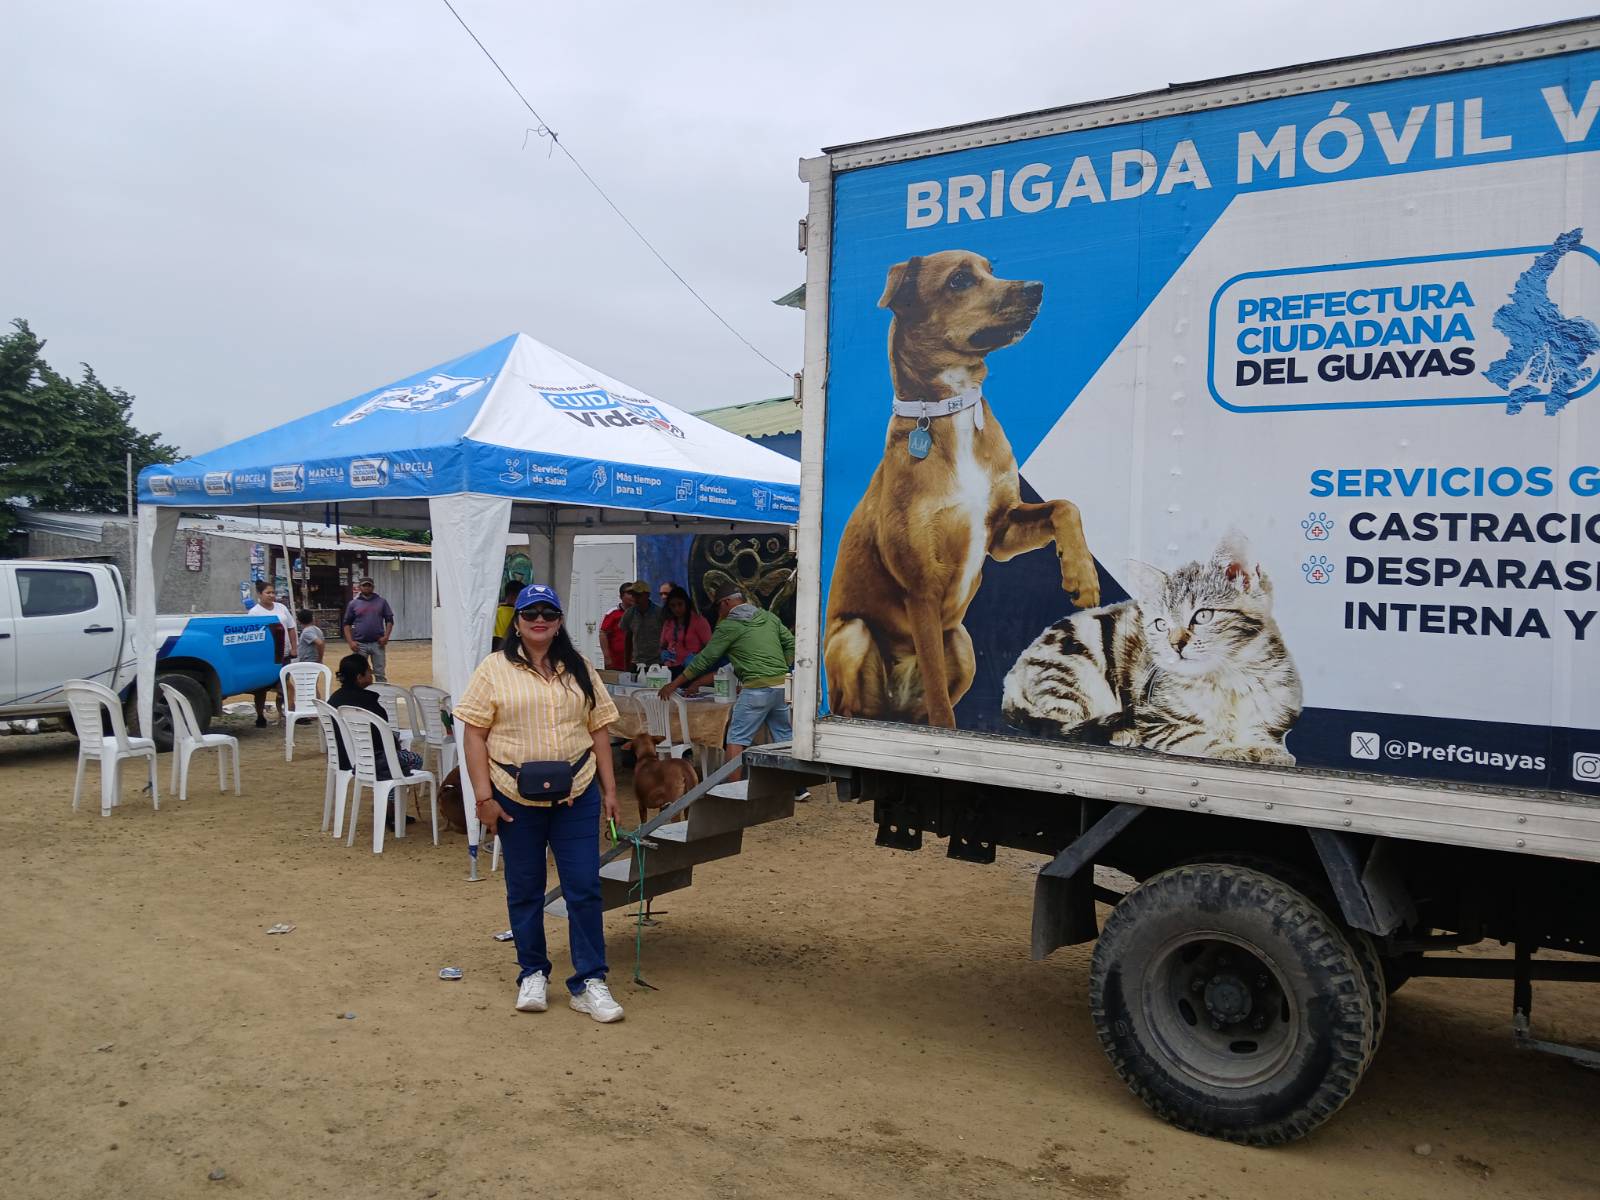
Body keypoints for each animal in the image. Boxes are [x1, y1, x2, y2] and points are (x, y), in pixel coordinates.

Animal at [824, 249, 1100, 728]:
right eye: (958, 281)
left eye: (992, 270)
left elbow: (1066, 505)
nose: (1037, 288)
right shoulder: (922, 588)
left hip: (963, 643)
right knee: (856, 708)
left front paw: (1081, 575)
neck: (949, 410)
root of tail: (892, 709)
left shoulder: (1002, 529)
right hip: (855, 637)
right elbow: (939, 702)